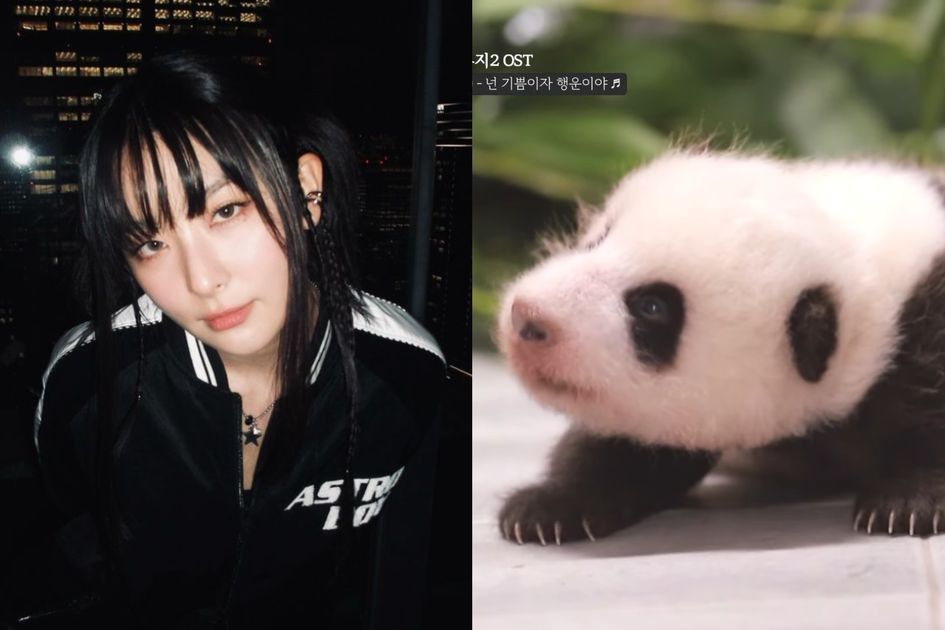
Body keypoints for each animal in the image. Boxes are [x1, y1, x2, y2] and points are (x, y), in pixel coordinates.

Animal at [496, 150, 945, 545]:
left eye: (652, 307)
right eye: (598, 240)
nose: (528, 318)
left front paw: (908, 502)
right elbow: (623, 450)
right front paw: (546, 509)